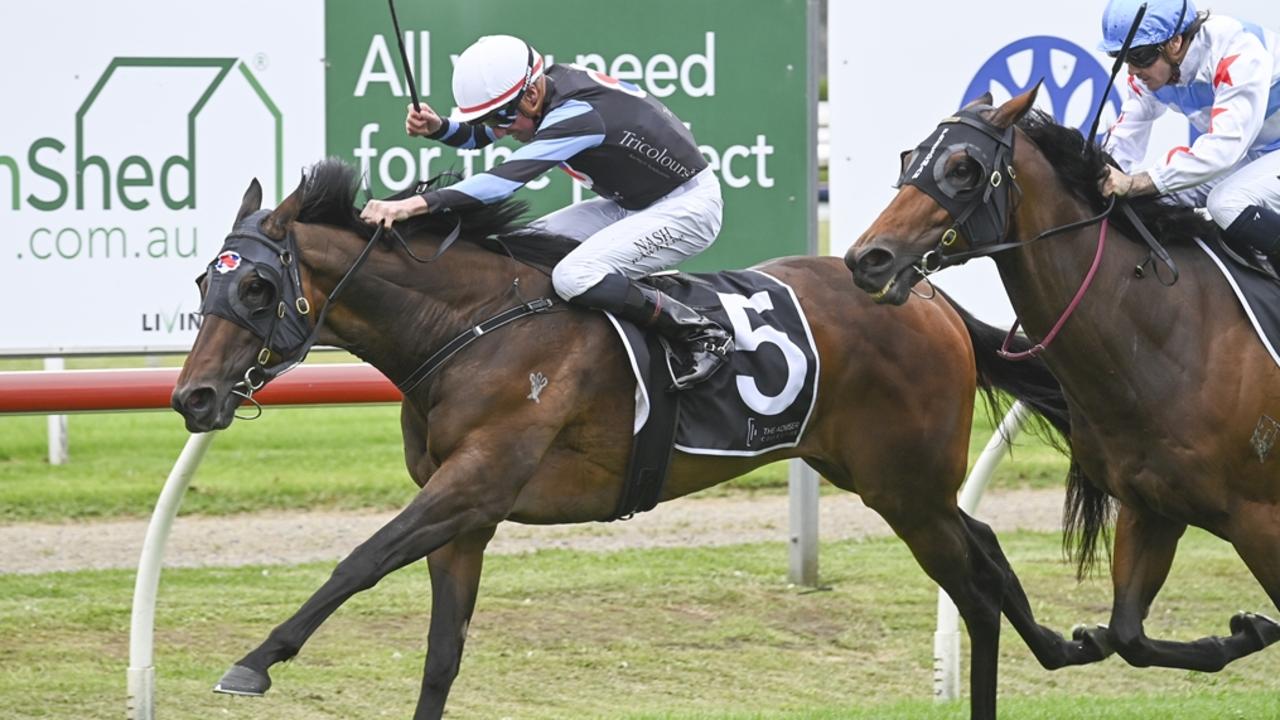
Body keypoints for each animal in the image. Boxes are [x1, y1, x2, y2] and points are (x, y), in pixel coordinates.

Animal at [170, 159, 1090, 712]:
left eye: (257, 287)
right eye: (204, 280)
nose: (192, 396)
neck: (471, 326)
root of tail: (925, 293)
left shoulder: (477, 480)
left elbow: (359, 560)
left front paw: (255, 660)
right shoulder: (465, 515)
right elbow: (441, 653)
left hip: (904, 485)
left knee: (973, 589)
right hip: (883, 475)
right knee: (985, 549)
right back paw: (1058, 643)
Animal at [849, 87, 1280, 676]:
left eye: (963, 168)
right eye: (908, 157)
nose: (868, 258)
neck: (1173, 332)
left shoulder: (1262, 520)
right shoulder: (1152, 506)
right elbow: (1128, 635)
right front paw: (1246, 630)